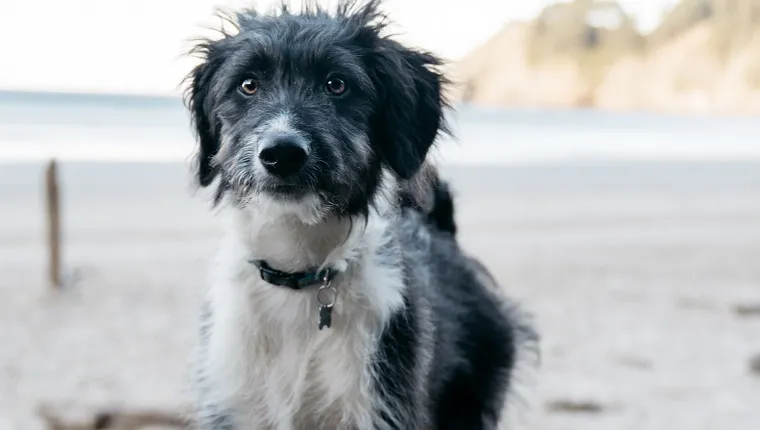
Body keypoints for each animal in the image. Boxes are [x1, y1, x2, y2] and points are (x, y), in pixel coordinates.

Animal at [184, 1, 536, 428]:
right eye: (247, 85)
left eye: (337, 84)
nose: (282, 153)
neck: (299, 270)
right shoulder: (232, 404)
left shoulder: (383, 402)